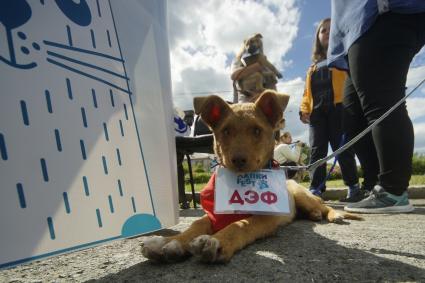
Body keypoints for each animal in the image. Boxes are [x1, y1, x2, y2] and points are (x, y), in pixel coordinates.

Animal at [141, 91, 360, 264]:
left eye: (256, 130)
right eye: (226, 131)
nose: (238, 160)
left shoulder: (266, 216)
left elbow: (241, 224)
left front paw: (217, 241)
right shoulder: (212, 214)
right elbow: (196, 224)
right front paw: (172, 242)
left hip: (301, 194)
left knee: (324, 205)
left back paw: (333, 214)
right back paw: (313, 215)